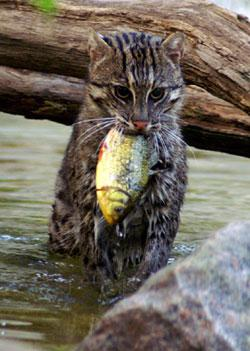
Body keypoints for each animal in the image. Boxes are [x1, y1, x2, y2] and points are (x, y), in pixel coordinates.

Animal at [47, 29, 188, 284]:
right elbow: (94, 255)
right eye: (122, 92)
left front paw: (140, 282)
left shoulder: (167, 197)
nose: (141, 123)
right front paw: (102, 287)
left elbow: (157, 253)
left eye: (157, 93)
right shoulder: (89, 200)